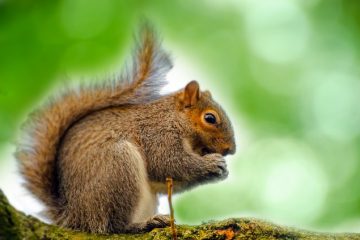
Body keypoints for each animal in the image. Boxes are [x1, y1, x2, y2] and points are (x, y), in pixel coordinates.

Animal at [15, 25, 236, 233]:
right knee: (114, 225)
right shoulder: (158, 135)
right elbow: (168, 163)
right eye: (210, 118)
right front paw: (212, 164)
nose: (230, 150)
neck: (174, 119)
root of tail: (74, 216)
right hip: (118, 169)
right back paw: (143, 224)